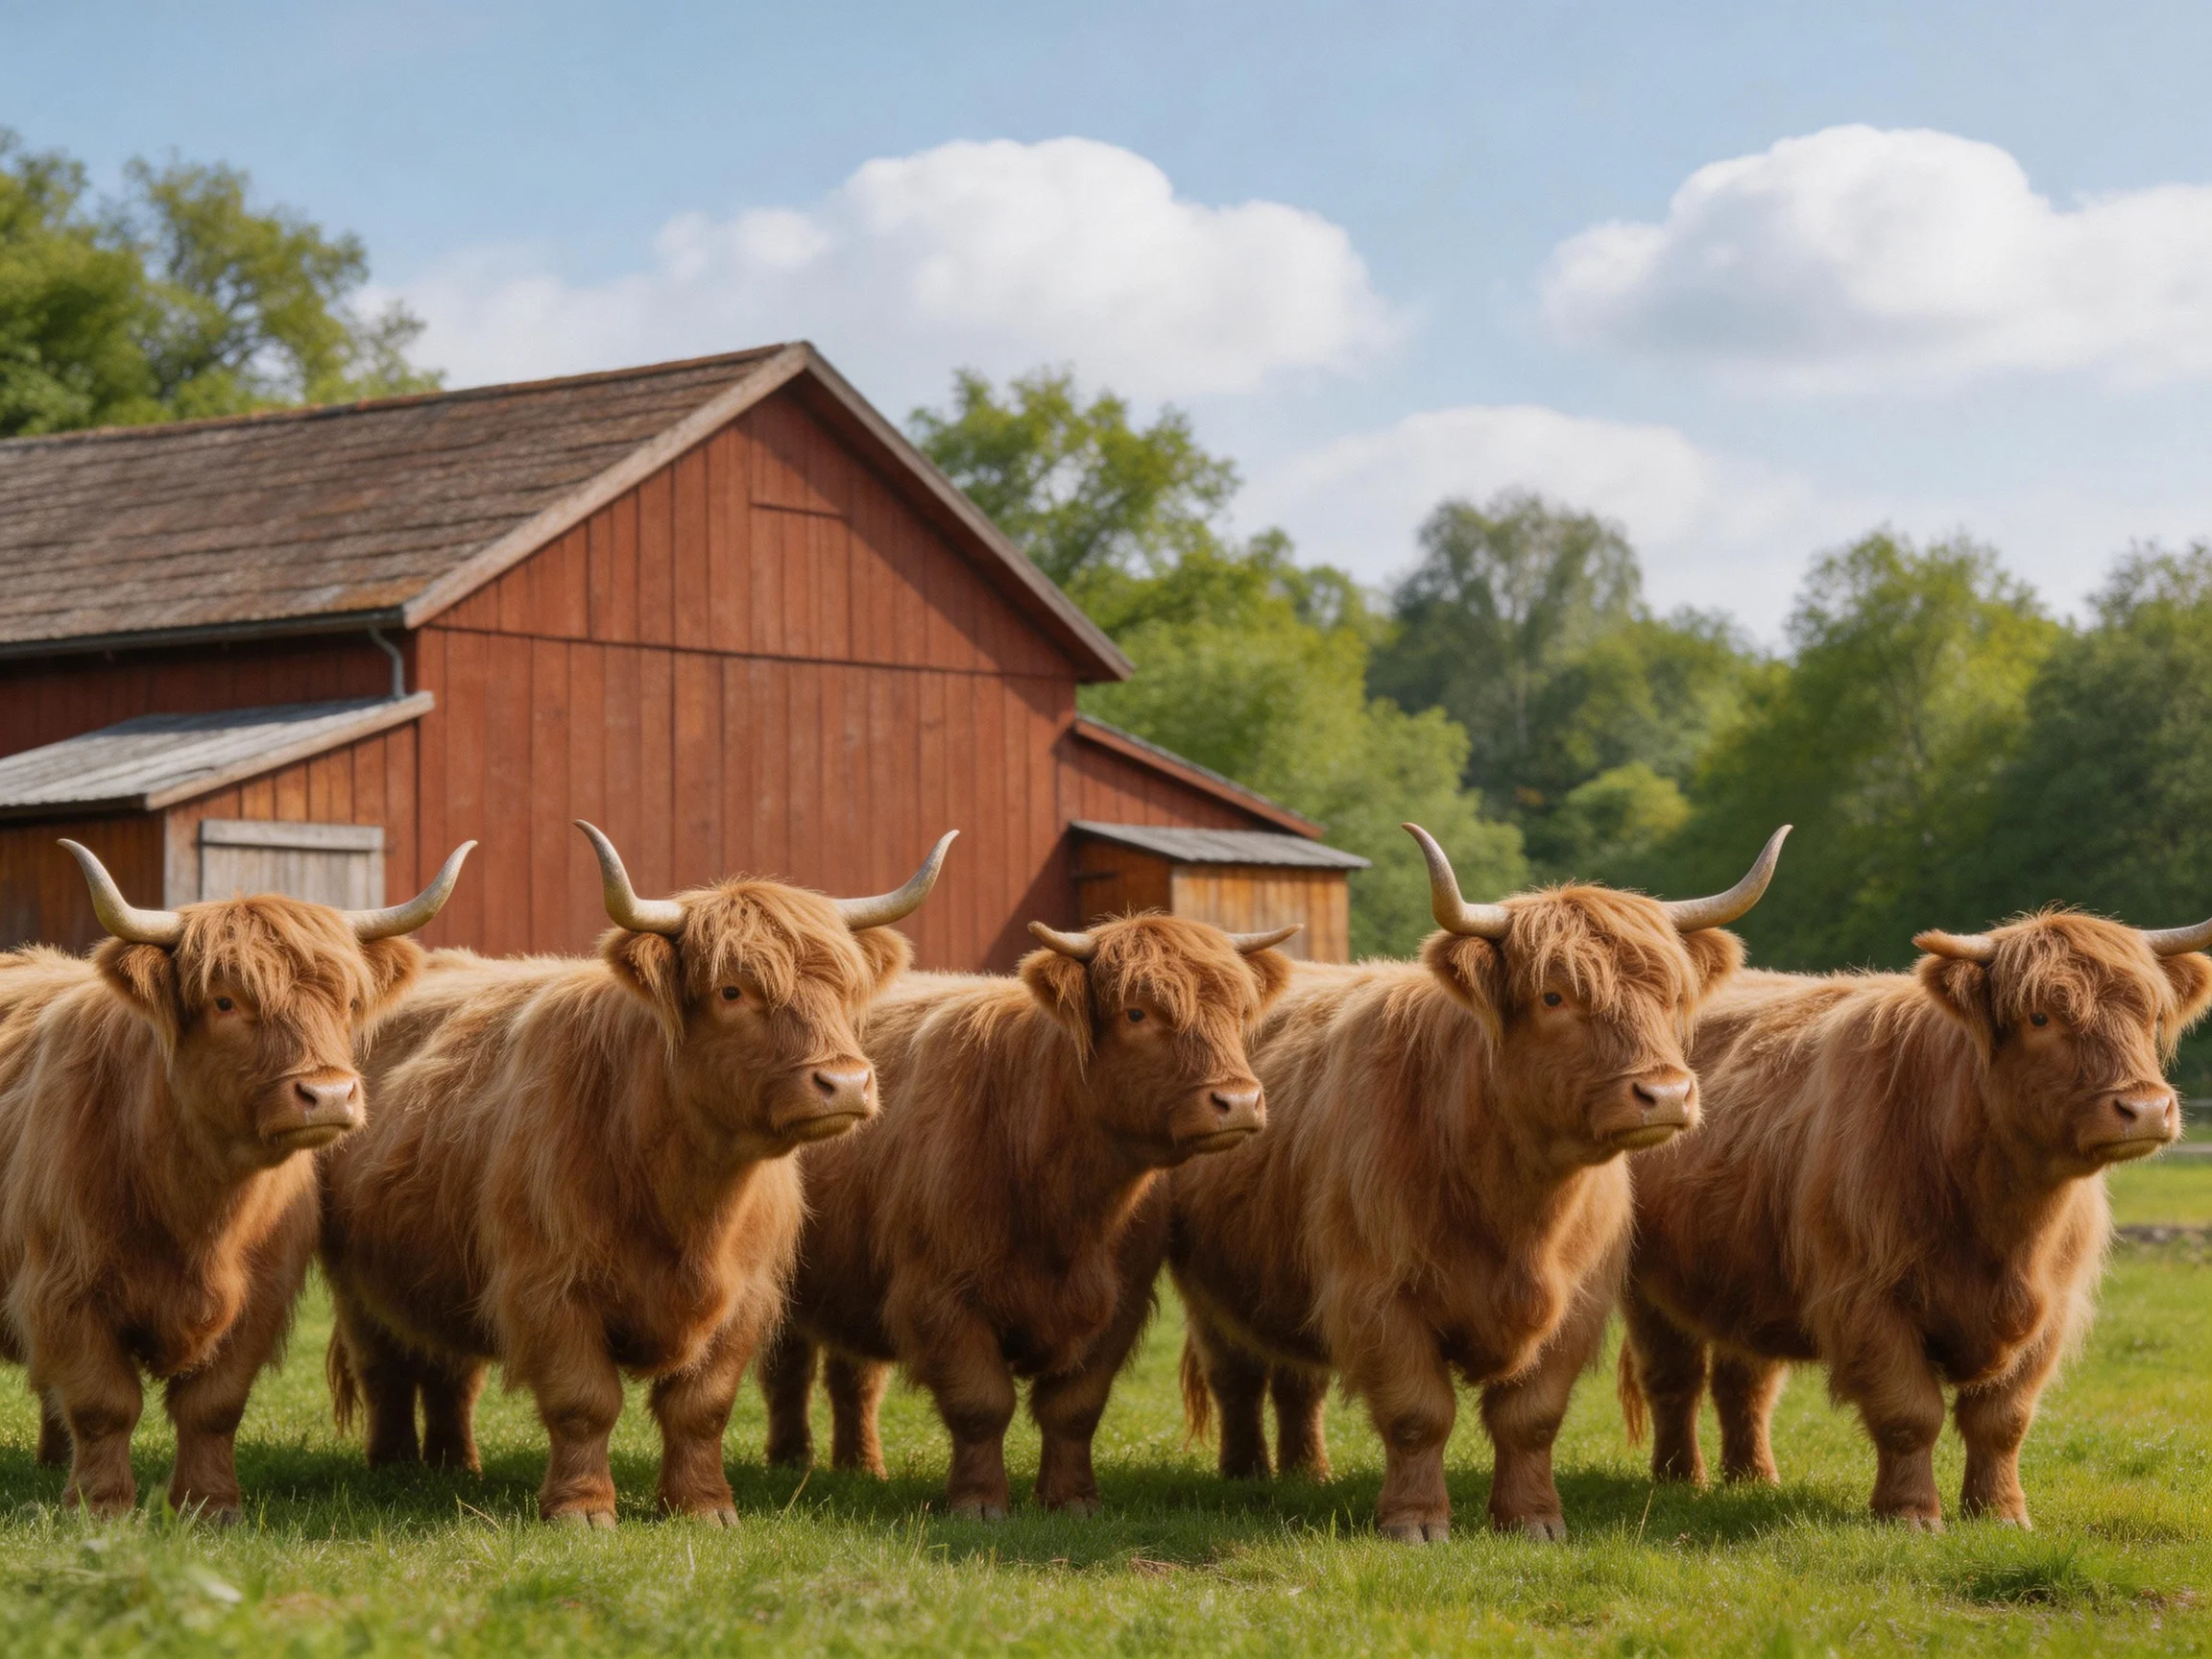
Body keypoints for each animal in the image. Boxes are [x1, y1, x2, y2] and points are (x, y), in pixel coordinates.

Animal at [0, 837, 470, 1520]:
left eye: (348, 1001)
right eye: (226, 1001)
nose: (329, 1095)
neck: (197, 1207)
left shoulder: (261, 1296)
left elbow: (214, 1406)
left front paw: (209, 1504)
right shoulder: (66, 1287)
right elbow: (102, 1403)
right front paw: (101, 1505)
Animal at [319, 822, 952, 1527]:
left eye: (842, 987)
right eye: (732, 990)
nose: (845, 1082)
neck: (688, 1198)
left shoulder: (746, 1298)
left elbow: (702, 1407)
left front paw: (704, 1506)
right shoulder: (547, 1287)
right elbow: (583, 1401)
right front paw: (583, 1509)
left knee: (450, 1370)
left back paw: (454, 1463)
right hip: (358, 1282)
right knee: (385, 1367)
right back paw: (394, 1463)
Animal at [758, 912, 1298, 1520]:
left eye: (1237, 1010)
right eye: (1137, 1012)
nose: (1239, 1101)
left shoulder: (1120, 1304)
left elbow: (1075, 1408)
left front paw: (1073, 1501)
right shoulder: (940, 1296)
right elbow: (981, 1403)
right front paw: (980, 1503)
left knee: (854, 1376)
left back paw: (862, 1467)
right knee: (787, 1367)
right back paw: (790, 1459)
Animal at [1170, 822, 1789, 1542]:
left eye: (1670, 995)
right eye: (1554, 996)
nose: (1664, 1094)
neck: (1515, 1204)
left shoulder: (1577, 1304)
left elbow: (1532, 1418)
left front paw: (1533, 1520)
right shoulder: (1374, 1295)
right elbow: (1418, 1413)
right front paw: (1415, 1523)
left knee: (1300, 1382)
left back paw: (1306, 1473)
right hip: (1208, 1292)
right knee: (1237, 1376)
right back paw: (1246, 1472)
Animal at [1618, 907, 2211, 1529]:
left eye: (2151, 1014)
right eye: (2040, 1016)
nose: (2145, 1108)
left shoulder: (2051, 1309)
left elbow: (2003, 1419)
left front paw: (2001, 1513)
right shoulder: (1868, 1299)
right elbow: (1909, 1412)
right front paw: (1912, 1515)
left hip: (1743, 1280)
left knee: (1745, 1383)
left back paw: (1753, 1479)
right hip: (1647, 1286)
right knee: (1674, 1379)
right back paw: (1680, 1479)